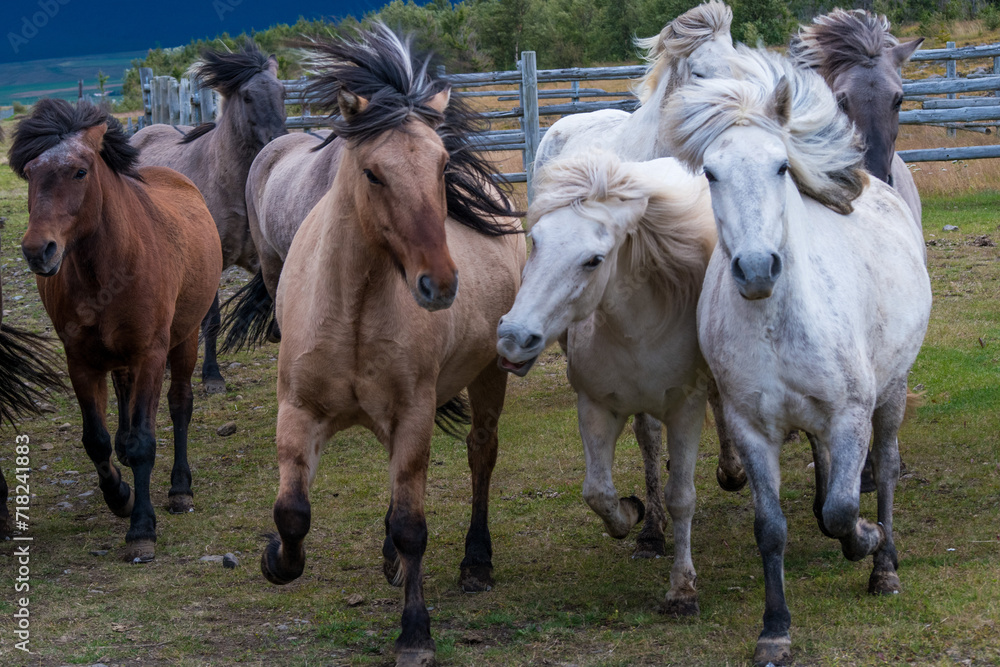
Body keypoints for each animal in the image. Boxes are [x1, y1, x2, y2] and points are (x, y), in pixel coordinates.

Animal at [11, 99, 223, 562]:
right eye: (30, 172)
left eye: (79, 172)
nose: (38, 250)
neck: (109, 269)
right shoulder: (81, 361)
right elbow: (96, 440)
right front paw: (121, 496)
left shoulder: (151, 354)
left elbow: (145, 439)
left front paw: (141, 528)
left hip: (184, 341)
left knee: (180, 405)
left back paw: (180, 489)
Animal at [131, 41, 286, 393]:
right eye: (247, 96)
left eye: (283, 92)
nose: (279, 139)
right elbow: (212, 319)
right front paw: (212, 376)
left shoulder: (263, 255)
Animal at [256, 26, 525, 667]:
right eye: (374, 173)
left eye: (441, 164)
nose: (440, 283)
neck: (351, 312)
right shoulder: (298, 412)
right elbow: (292, 512)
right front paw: (278, 561)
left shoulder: (413, 415)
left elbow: (412, 525)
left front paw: (415, 633)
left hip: (490, 374)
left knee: (481, 452)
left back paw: (476, 562)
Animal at [496, 152, 716, 614]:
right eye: (535, 241)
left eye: (594, 260)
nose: (513, 338)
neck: (636, 331)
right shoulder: (596, 407)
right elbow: (597, 491)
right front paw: (630, 515)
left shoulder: (687, 408)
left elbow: (682, 496)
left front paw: (682, 588)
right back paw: (651, 533)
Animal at [665, 47, 931, 666]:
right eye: (710, 172)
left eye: (781, 167)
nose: (757, 269)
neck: (776, 323)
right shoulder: (750, 427)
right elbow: (772, 528)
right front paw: (775, 630)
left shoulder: (852, 415)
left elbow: (842, 511)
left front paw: (868, 541)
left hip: (892, 392)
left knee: (883, 469)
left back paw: (884, 566)